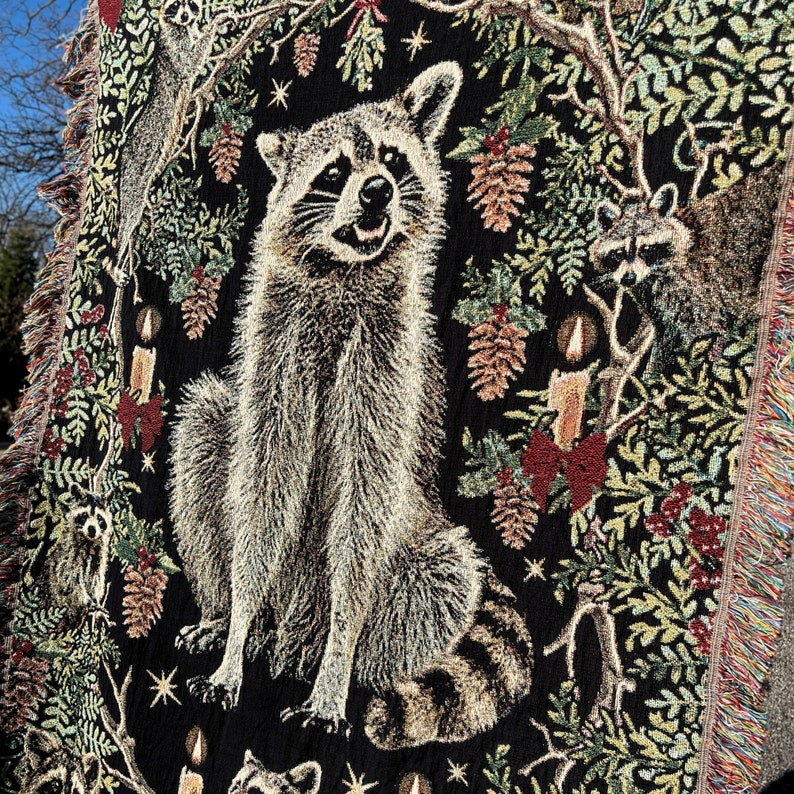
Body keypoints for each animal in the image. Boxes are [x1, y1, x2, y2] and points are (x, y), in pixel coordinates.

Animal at [44, 483, 112, 622]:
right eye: (84, 515)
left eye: (99, 518)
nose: (92, 529)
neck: (89, 541)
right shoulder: (69, 557)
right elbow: (70, 580)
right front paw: (88, 601)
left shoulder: (99, 559)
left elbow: (96, 580)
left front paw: (95, 600)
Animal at [169, 62, 533, 749]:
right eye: (335, 172)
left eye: (392, 158)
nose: (377, 191)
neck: (344, 272)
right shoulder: (277, 347)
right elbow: (261, 493)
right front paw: (234, 628)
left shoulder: (385, 365)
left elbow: (361, 518)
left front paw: (335, 673)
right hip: (223, 433)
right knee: (204, 432)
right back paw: (228, 617)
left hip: (424, 541)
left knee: (440, 576)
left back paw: (328, 658)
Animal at [591, 164, 783, 366]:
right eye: (619, 253)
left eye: (646, 249)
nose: (629, 277)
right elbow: (666, 337)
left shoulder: (694, 289)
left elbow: (705, 328)